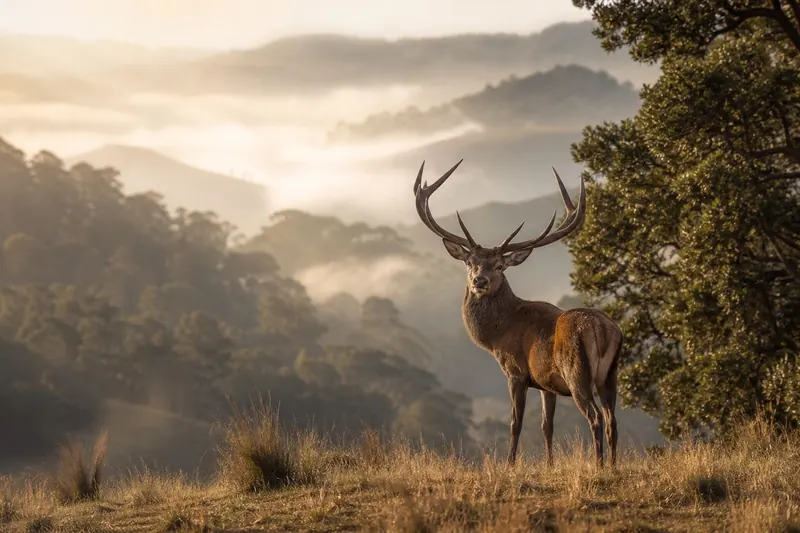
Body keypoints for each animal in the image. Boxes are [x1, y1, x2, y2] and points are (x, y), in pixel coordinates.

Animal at [412, 159, 623, 467]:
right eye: (470, 263)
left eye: (500, 265)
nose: (480, 281)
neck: (498, 335)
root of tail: (604, 330)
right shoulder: (546, 383)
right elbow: (546, 426)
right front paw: (549, 465)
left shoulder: (516, 370)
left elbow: (516, 423)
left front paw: (510, 464)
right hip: (610, 375)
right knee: (612, 420)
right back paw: (613, 465)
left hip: (577, 372)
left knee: (595, 418)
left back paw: (598, 466)